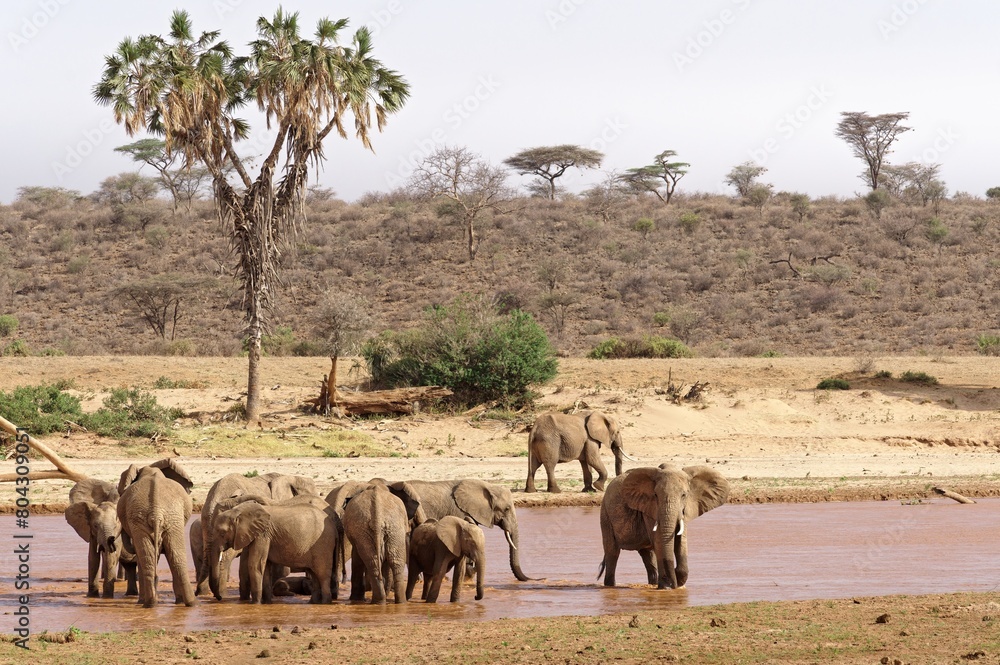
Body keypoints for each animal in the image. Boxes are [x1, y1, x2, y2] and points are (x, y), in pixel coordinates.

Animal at [117, 458, 196, 607]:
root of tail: (156, 511)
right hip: (167, 519)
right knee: (175, 558)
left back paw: (149, 603)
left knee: (154, 558)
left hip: (162, 518)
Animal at [210, 497, 339, 604]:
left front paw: (255, 604)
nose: (219, 598)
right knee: (314, 574)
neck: (237, 511)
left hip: (323, 545)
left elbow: (254, 565)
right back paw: (313, 603)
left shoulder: (263, 534)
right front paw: (266, 603)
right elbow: (265, 566)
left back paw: (325, 603)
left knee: (322, 574)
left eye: (222, 533)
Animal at [599, 463, 729, 590]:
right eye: (656, 495)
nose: (674, 583)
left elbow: (681, 541)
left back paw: (653, 583)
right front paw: (667, 587)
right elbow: (659, 542)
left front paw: (677, 582)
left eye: (684, 495)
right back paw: (610, 586)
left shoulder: (685, 510)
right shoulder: (649, 509)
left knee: (648, 555)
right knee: (612, 552)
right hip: (605, 514)